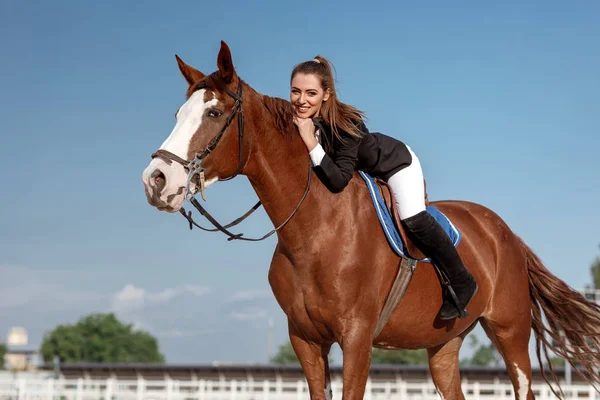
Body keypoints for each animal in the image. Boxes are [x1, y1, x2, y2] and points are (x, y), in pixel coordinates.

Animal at [143, 42, 600, 398]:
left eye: (214, 114)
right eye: (178, 114)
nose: (155, 180)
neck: (314, 229)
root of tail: (505, 233)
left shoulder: (357, 338)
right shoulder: (305, 340)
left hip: (510, 332)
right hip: (444, 344)